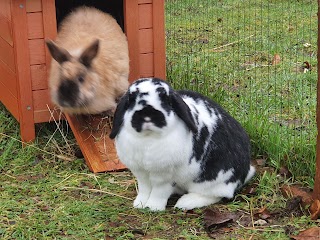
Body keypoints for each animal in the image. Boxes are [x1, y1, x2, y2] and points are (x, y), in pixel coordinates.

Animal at [110, 78, 255, 211]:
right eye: (131, 98)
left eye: (166, 99)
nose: (147, 114)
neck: (148, 138)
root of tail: (245, 172)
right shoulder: (141, 173)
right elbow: (144, 188)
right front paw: (139, 204)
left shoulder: (165, 177)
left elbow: (159, 192)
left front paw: (153, 207)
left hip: (213, 181)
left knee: (216, 195)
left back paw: (185, 202)